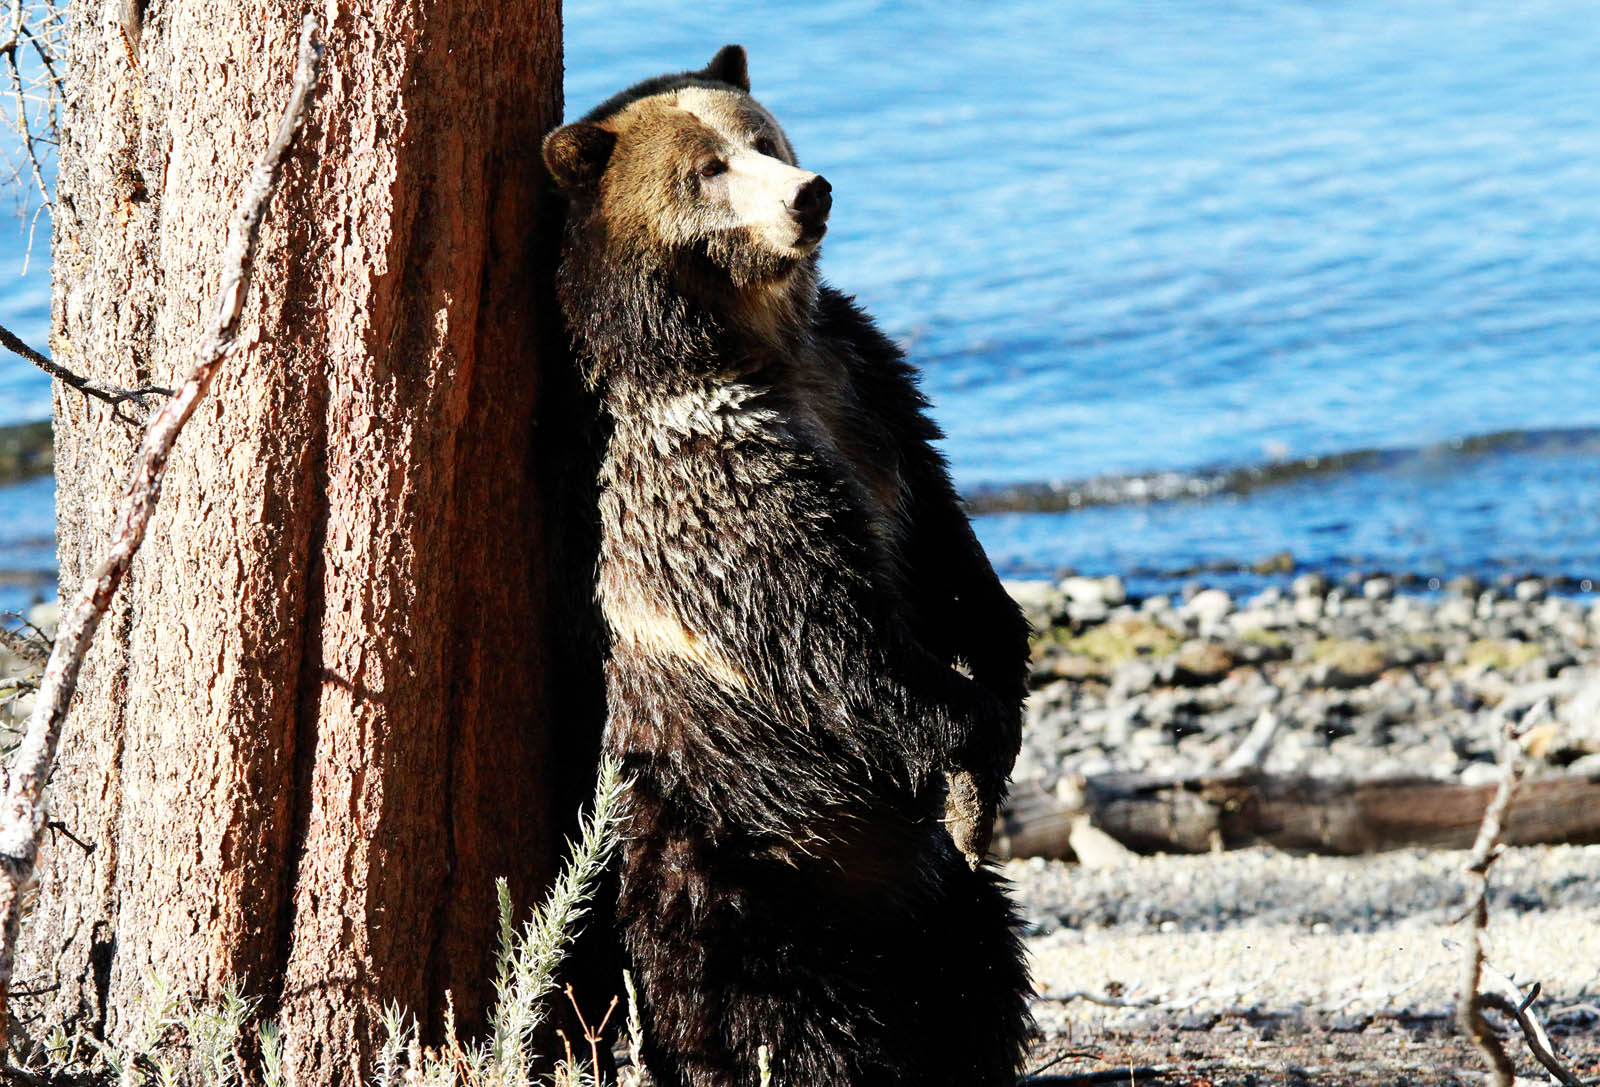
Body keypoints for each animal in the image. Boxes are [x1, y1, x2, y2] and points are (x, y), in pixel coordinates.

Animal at [544, 44, 1030, 1087]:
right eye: (706, 168)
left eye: (763, 136)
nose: (810, 194)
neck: (753, 348)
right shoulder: (720, 486)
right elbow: (835, 642)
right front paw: (973, 744)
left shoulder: (872, 395)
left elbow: (952, 558)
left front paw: (1002, 701)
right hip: (736, 849)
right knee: (764, 1006)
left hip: (911, 883)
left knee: (978, 961)